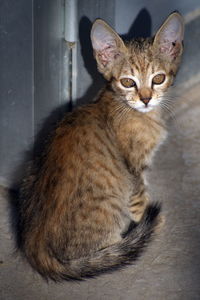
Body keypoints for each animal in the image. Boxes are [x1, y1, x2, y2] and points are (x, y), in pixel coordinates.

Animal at [18, 11, 184, 278]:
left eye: (158, 79)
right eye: (128, 82)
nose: (146, 99)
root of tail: (36, 248)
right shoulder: (134, 167)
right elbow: (139, 196)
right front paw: (144, 218)